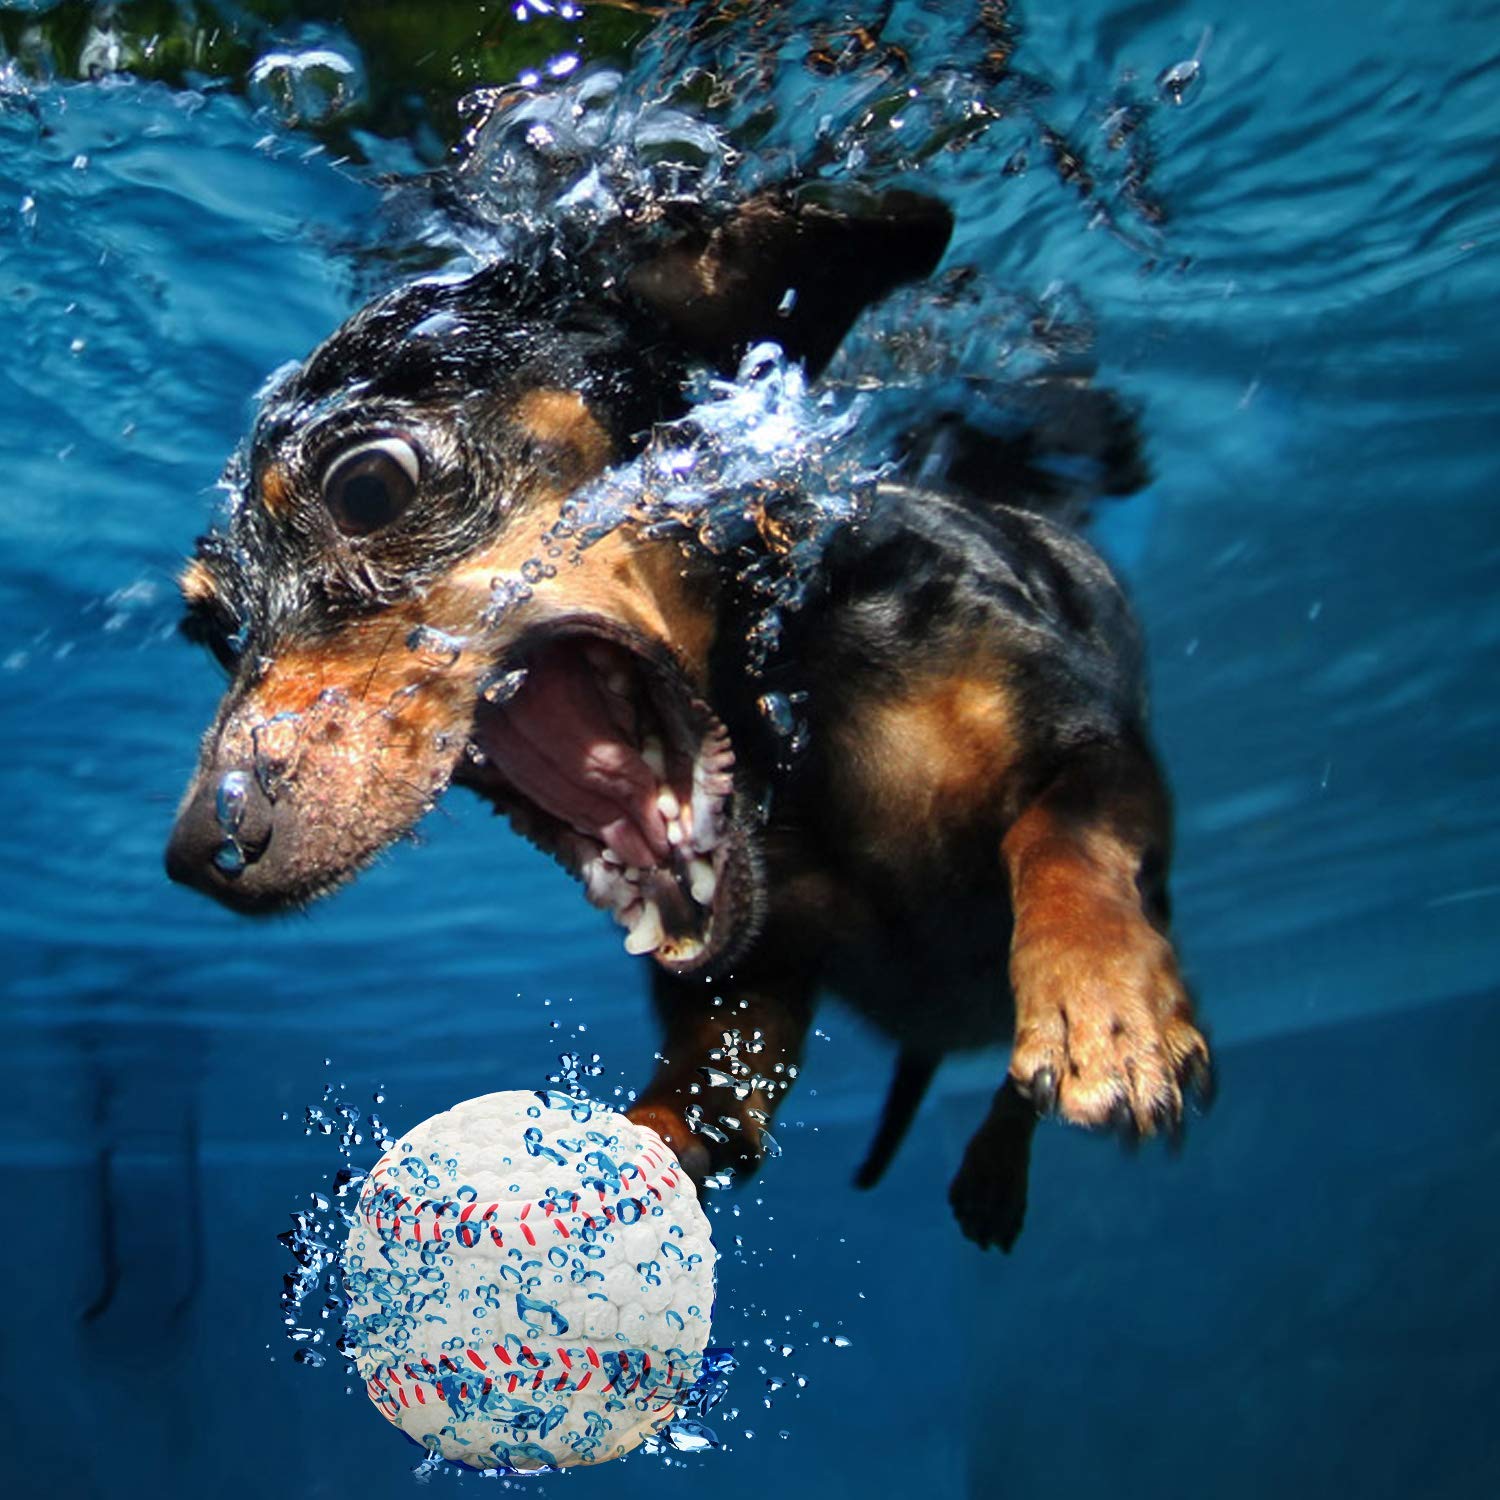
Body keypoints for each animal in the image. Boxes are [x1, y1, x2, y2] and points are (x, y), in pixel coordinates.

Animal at [170, 181, 1212, 1248]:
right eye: (210, 630)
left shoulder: (1098, 749)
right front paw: (601, 1171)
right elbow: (696, 1103)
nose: (199, 851)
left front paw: (1101, 1003)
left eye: (369, 486)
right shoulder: (745, 989)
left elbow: (1064, 839)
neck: (782, 726)